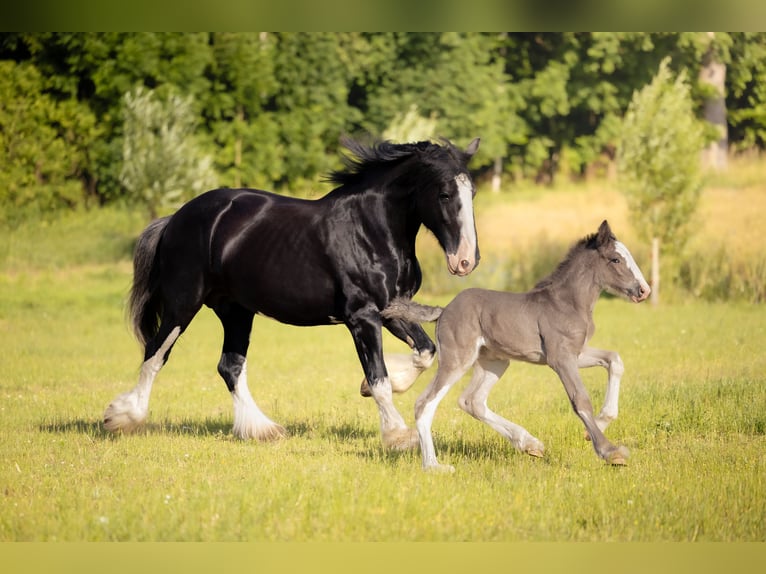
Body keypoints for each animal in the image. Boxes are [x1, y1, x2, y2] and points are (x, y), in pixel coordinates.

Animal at [103, 137, 481, 450]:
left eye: (472, 193)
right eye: (445, 194)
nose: (465, 261)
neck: (370, 230)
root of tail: (174, 219)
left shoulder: (391, 311)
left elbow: (425, 352)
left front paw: (373, 388)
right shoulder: (362, 317)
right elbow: (380, 379)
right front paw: (398, 436)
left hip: (236, 311)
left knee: (230, 367)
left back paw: (262, 430)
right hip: (183, 304)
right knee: (155, 354)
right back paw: (121, 417)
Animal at [382, 220, 650, 471]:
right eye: (615, 259)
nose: (644, 290)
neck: (567, 302)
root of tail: (444, 310)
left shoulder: (576, 353)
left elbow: (614, 359)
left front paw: (603, 420)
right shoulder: (560, 358)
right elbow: (580, 399)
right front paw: (610, 452)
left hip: (495, 361)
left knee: (472, 401)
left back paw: (530, 444)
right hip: (457, 359)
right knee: (425, 403)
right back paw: (433, 466)